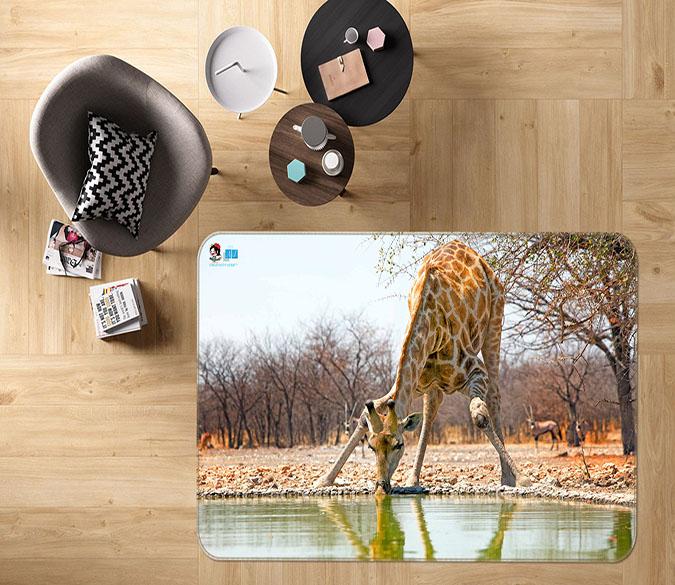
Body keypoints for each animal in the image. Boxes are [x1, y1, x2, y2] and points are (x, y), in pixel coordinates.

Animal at [315, 240, 529, 493]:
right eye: (371, 446)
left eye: (398, 445)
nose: (382, 486)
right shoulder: (416, 380)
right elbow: (367, 413)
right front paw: (324, 479)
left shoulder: (476, 372)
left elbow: (479, 415)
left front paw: (522, 478)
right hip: (434, 383)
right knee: (430, 409)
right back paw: (413, 478)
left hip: (495, 321)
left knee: (494, 396)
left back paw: (507, 478)